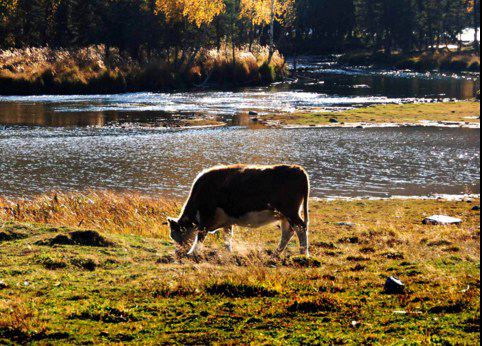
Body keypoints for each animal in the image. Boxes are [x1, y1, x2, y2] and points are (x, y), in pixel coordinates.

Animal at [168, 164, 310, 256]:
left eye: (174, 235)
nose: (178, 253)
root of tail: (298, 168)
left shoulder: (206, 217)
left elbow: (200, 236)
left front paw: (193, 253)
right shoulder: (226, 221)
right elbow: (227, 237)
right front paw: (228, 252)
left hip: (290, 211)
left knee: (300, 228)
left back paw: (303, 254)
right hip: (284, 215)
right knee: (288, 232)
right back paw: (276, 254)